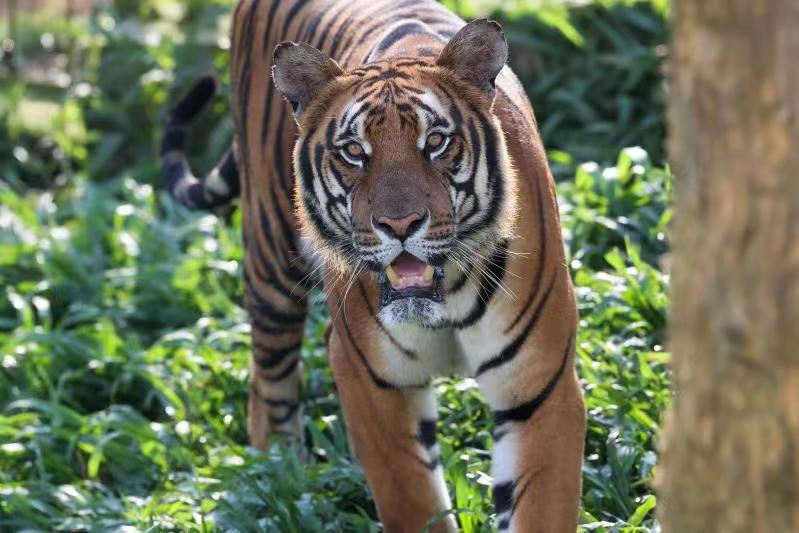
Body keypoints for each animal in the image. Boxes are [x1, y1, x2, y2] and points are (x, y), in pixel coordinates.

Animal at [160, 0, 585, 531]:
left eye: (436, 142)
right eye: (354, 151)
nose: (399, 224)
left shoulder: (539, 389)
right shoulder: (372, 380)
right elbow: (414, 502)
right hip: (270, 255)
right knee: (268, 383)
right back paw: (280, 479)